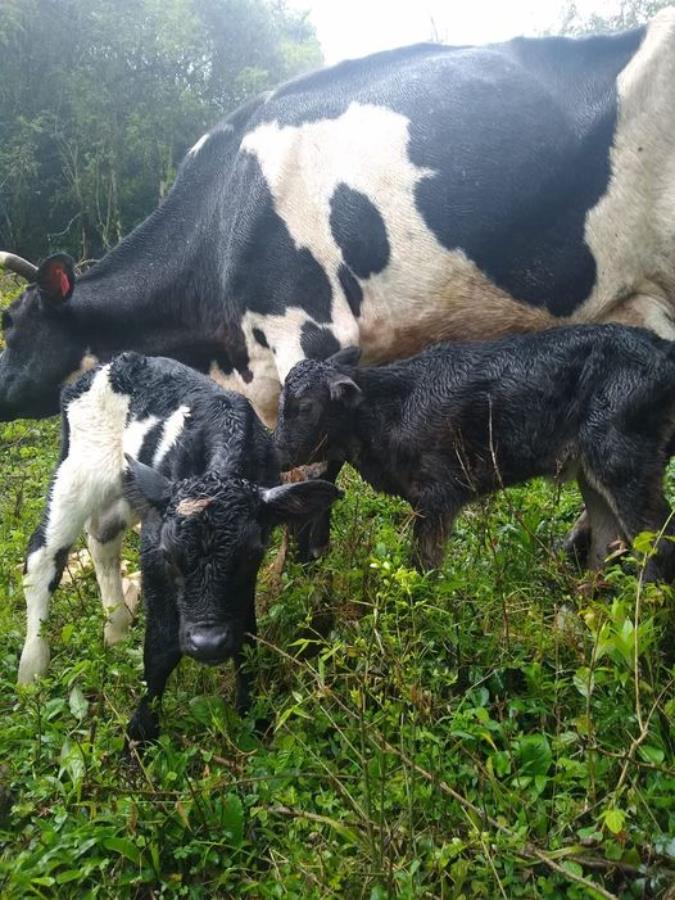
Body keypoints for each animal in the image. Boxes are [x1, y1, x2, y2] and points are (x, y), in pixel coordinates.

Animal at [18, 352, 340, 740]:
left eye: (253, 554)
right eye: (170, 555)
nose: (208, 643)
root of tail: (111, 365)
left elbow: (246, 633)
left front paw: (253, 716)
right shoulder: (154, 549)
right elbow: (162, 647)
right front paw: (140, 733)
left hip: (129, 487)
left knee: (103, 536)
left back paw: (116, 629)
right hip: (77, 471)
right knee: (42, 557)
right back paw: (32, 667)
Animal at [274, 326, 675, 576]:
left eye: (305, 407)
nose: (276, 452)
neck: (388, 410)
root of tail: (663, 350)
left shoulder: (438, 494)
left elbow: (424, 565)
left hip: (626, 461)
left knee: (657, 544)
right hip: (595, 472)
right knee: (607, 545)